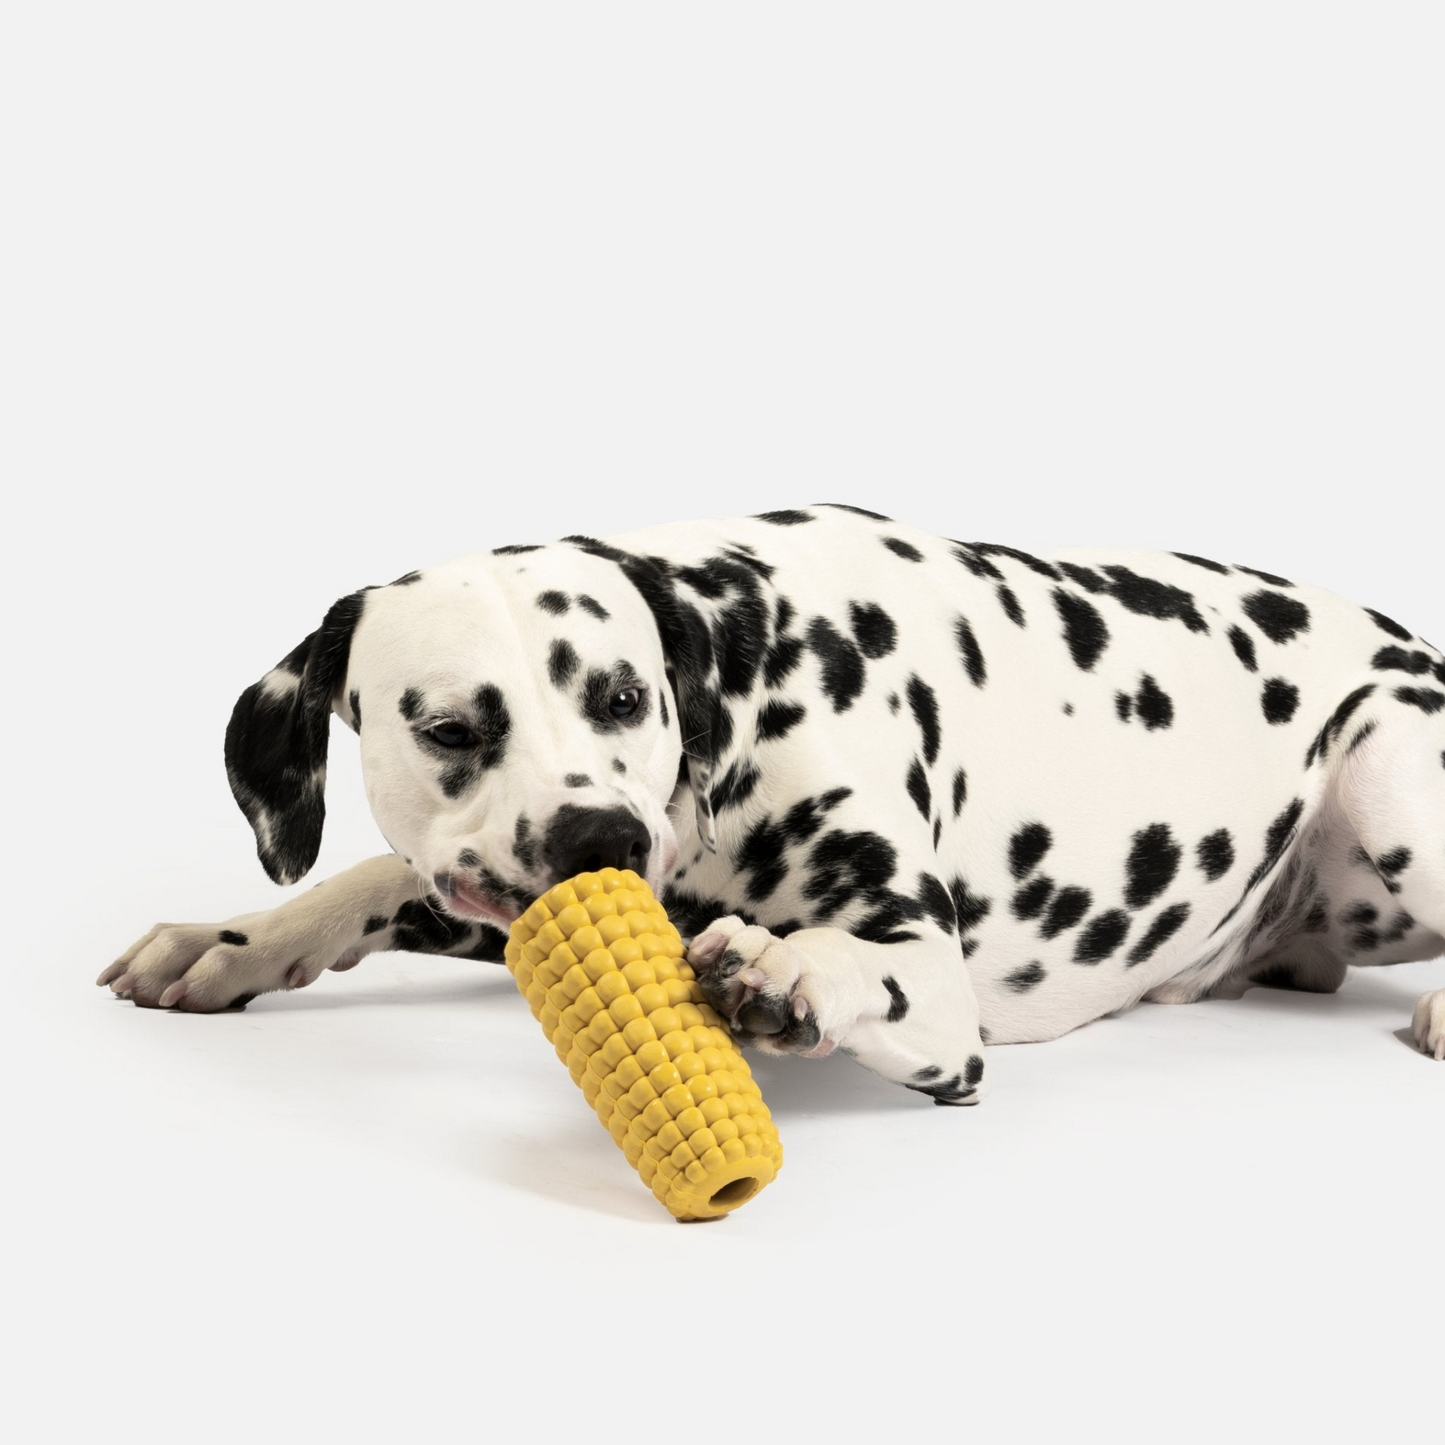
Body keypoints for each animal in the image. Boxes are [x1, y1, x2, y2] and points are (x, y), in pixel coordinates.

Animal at [98, 508, 1445, 1092]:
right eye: (448, 730)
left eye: (624, 693)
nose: (602, 835)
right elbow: (377, 872)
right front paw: (228, 939)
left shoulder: (935, 990)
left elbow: (857, 963)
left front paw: (789, 969)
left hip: (1385, 758)